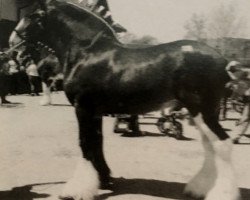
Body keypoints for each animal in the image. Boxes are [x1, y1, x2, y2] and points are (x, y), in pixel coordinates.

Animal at [8, 0, 240, 200]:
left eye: (33, 16)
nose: (12, 42)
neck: (88, 52)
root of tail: (224, 61)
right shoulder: (95, 111)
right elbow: (97, 143)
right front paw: (103, 179)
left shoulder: (83, 108)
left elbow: (85, 143)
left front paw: (77, 189)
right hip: (201, 111)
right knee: (210, 146)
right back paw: (200, 188)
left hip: (202, 110)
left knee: (221, 143)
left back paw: (221, 193)